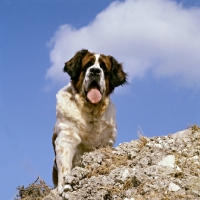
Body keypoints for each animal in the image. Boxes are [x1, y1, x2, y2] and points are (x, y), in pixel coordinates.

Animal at [51, 48, 126, 194]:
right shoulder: (66, 139)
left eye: (103, 67)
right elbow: (65, 165)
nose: (95, 71)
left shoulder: (106, 142)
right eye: (87, 65)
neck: (91, 111)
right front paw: (65, 186)